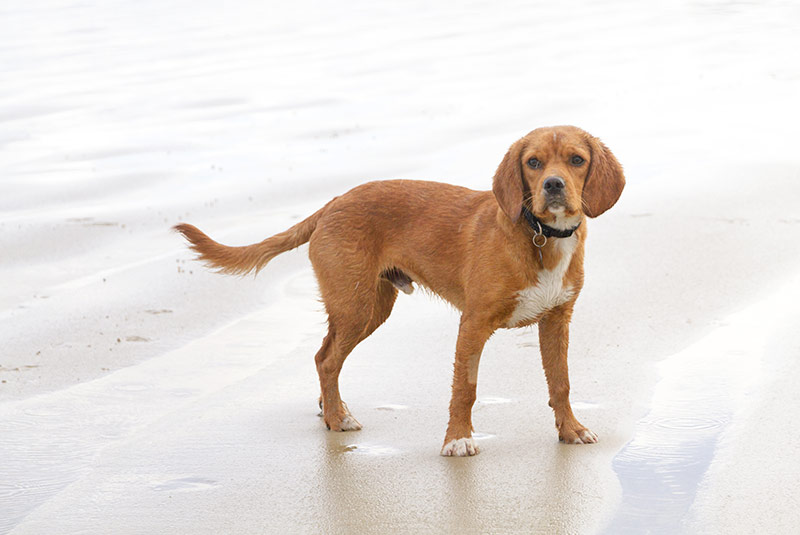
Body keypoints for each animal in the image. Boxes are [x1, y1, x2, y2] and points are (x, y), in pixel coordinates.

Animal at [175, 125, 624, 456]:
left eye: (577, 160)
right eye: (533, 163)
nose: (552, 185)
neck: (540, 235)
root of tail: (333, 203)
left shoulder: (557, 321)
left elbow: (561, 383)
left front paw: (571, 430)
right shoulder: (473, 324)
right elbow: (465, 388)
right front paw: (457, 440)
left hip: (369, 306)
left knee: (324, 354)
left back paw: (330, 409)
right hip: (356, 306)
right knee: (326, 360)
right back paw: (337, 419)